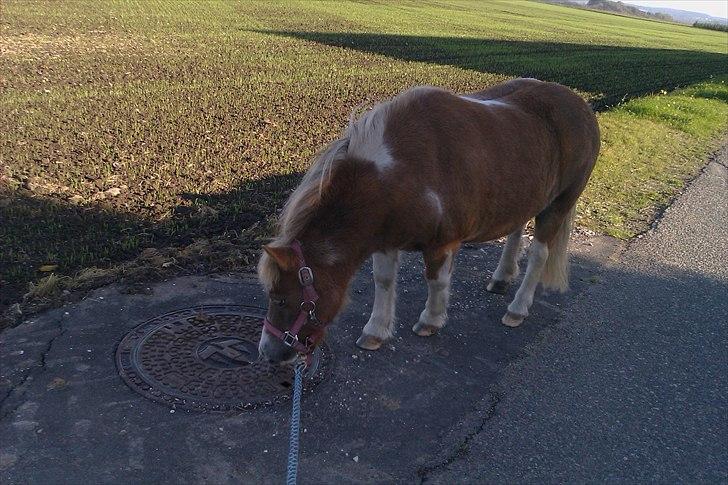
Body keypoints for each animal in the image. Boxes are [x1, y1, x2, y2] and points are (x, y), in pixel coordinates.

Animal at [256, 78, 596, 364]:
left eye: (281, 299)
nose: (268, 355)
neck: (400, 172)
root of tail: (581, 106)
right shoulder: (385, 238)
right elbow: (383, 281)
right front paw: (375, 331)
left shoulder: (442, 244)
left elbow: (436, 281)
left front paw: (430, 321)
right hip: (524, 198)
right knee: (515, 233)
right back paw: (501, 278)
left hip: (558, 204)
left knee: (539, 255)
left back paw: (518, 308)